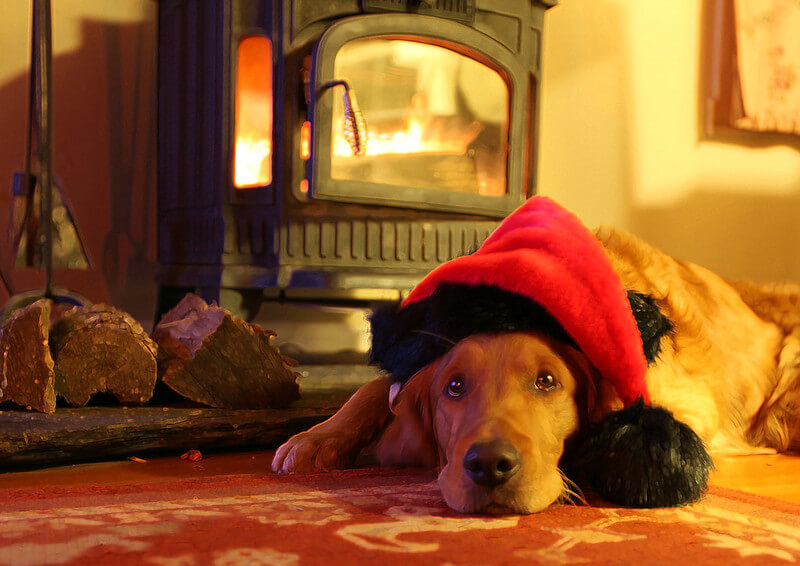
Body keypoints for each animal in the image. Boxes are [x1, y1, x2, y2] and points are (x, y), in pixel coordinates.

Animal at [270, 205, 800, 520]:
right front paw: (317, 437)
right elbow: (374, 388)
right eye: (455, 386)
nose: (489, 465)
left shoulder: (690, 404)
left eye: (547, 381)